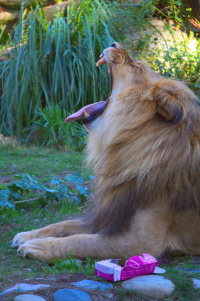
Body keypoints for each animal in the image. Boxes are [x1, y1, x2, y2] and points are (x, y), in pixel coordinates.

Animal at [11, 41, 200, 262]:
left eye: (136, 65)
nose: (113, 43)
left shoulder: (141, 243)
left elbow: (80, 241)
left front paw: (37, 246)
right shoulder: (110, 214)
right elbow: (66, 223)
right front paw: (27, 235)